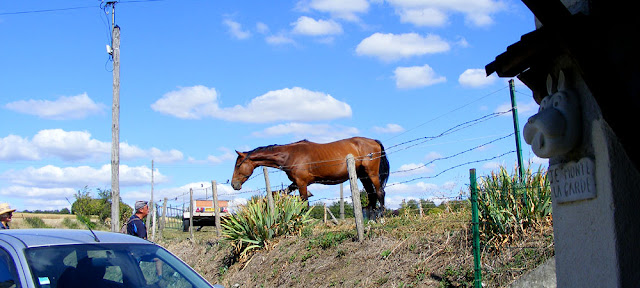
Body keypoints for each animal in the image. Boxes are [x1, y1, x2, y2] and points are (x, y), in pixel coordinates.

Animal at [231, 137, 390, 216]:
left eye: (238, 165)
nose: (234, 184)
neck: (289, 155)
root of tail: (374, 142)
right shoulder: (296, 182)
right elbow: (281, 193)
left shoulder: (301, 183)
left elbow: (304, 203)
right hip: (363, 176)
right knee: (371, 194)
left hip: (371, 174)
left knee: (379, 192)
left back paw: (381, 214)